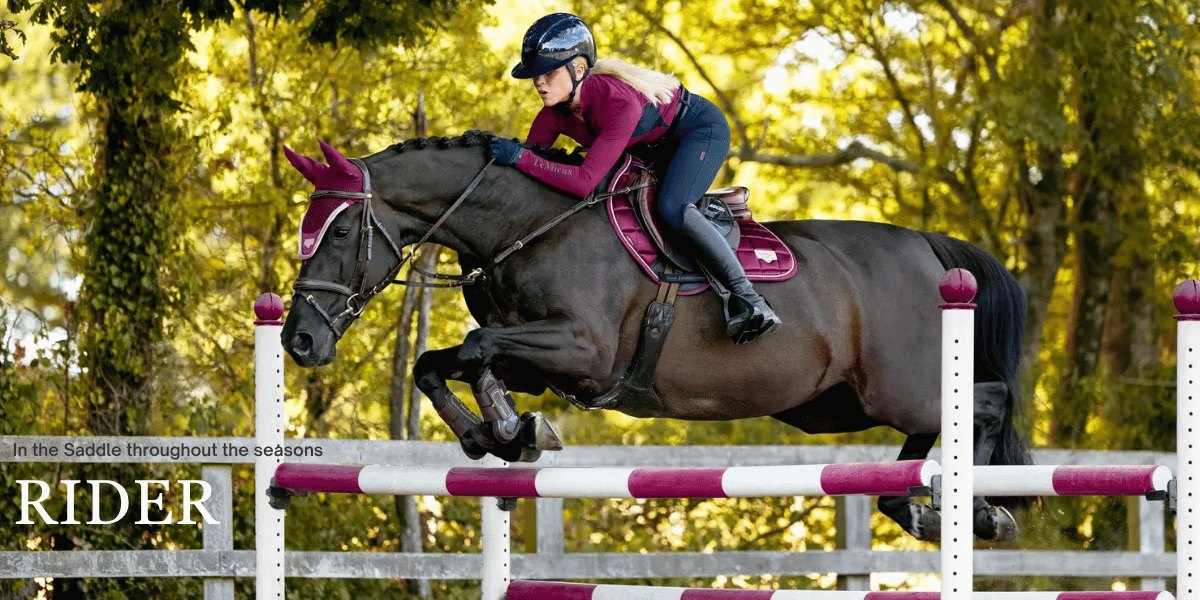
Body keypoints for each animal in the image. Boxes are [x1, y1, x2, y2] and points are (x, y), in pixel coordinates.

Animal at [279, 133, 1031, 542]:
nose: (299, 342)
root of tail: (932, 251)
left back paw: (981, 511)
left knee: (986, 401)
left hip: (895, 388)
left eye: (338, 234)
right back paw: (923, 508)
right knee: (930, 436)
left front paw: (512, 428)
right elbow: (440, 362)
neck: (526, 224)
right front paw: (494, 434)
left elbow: (473, 348)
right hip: (836, 405)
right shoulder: (542, 359)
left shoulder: (583, 350)